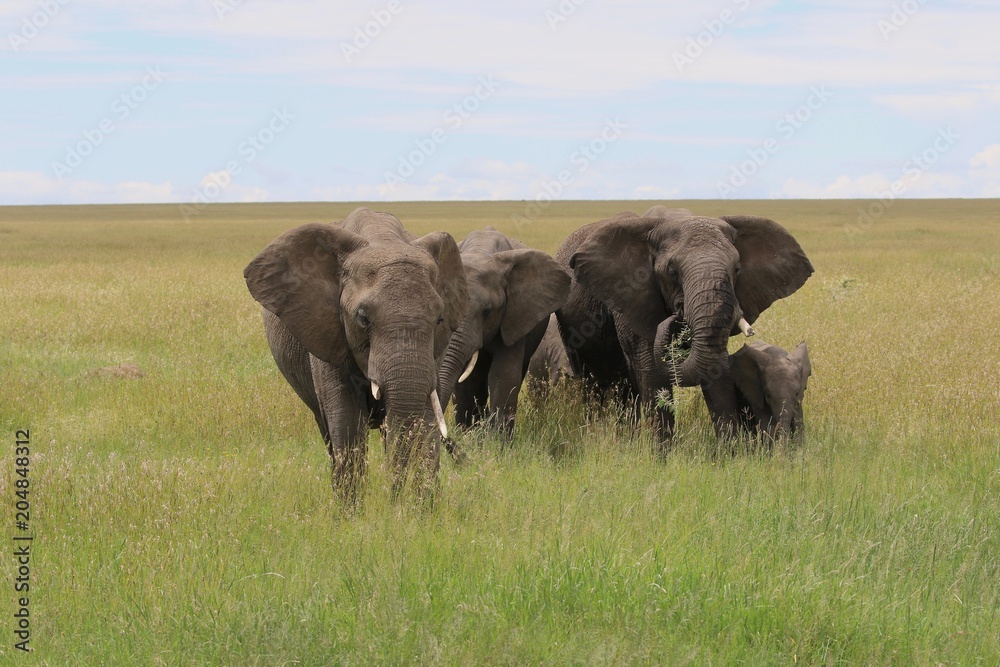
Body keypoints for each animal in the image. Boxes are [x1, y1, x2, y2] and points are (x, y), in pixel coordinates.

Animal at [248, 209, 470, 500]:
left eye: (439, 319)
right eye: (363, 319)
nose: (393, 498)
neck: (382, 238)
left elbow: (425, 420)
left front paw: (421, 508)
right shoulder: (327, 329)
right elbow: (347, 422)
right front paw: (351, 510)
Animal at [438, 230, 572, 438]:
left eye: (487, 312)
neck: (480, 252)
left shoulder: (514, 313)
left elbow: (503, 375)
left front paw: (497, 441)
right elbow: (464, 379)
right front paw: (468, 435)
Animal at [556, 204, 812, 444]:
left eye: (737, 269)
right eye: (672, 271)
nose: (675, 315)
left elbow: (716, 369)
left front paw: (731, 452)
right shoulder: (630, 294)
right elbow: (652, 371)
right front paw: (661, 455)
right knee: (594, 385)